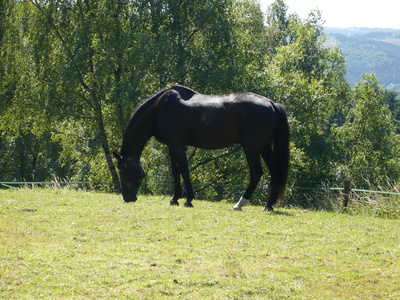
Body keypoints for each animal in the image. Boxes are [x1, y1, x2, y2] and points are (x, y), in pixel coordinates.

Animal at [114, 84, 290, 211]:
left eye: (122, 171)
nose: (128, 198)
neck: (160, 108)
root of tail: (271, 104)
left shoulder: (178, 145)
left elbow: (184, 171)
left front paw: (188, 200)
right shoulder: (171, 146)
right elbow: (175, 173)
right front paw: (174, 199)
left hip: (251, 148)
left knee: (256, 173)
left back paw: (240, 203)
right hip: (264, 147)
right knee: (275, 172)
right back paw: (268, 205)